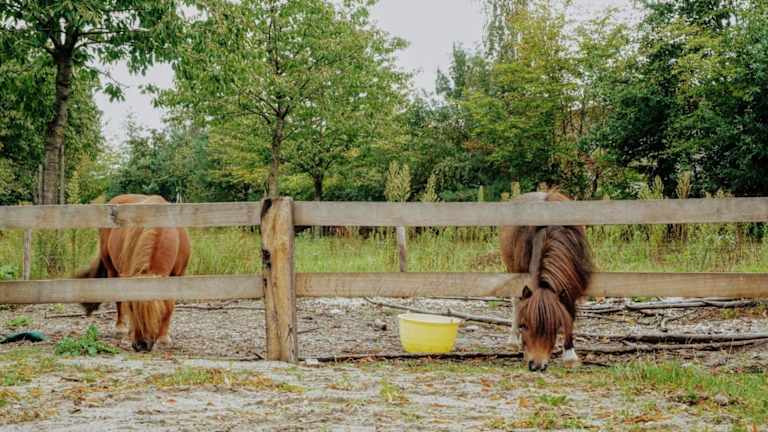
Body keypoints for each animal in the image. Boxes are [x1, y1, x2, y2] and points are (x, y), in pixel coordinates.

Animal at [75, 194, 191, 352]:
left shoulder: (177, 277)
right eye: (132, 309)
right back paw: (120, 328)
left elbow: (169, 306)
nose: (140, 345)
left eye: (155, 313)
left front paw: (164, 338)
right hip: (112, 270)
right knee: (118, 301)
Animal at [500, 190, 593, 371]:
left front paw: (569, 355)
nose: (536, 365)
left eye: (555, 327)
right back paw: (513, 341)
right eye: (524, 325)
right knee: (516, 302)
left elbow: (569, 312)